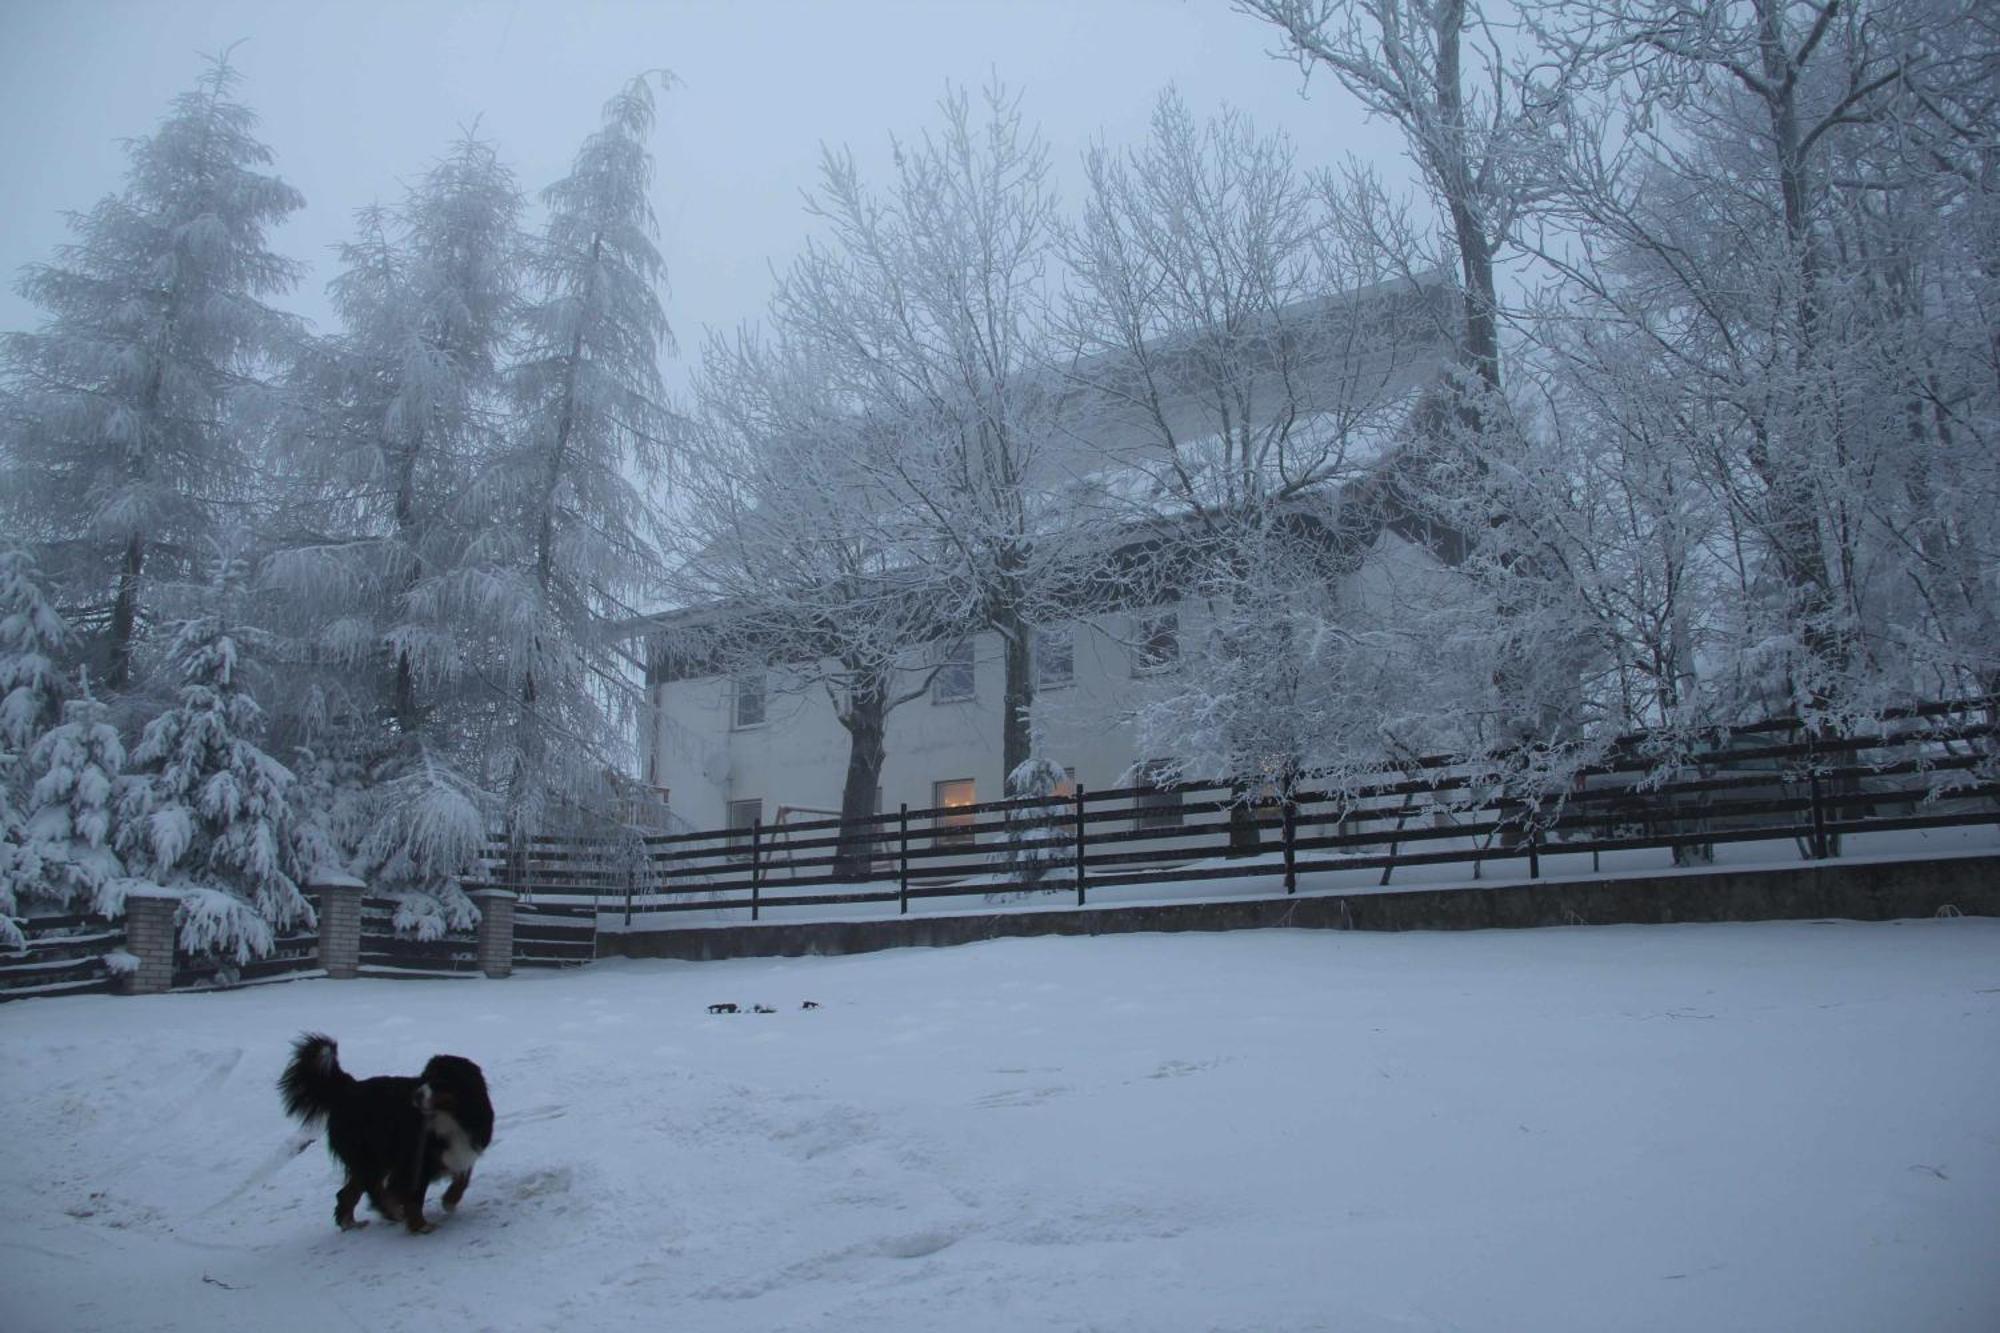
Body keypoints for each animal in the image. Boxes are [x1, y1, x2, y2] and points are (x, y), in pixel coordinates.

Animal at [278, 1024, 496, 1232]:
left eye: (441, 1081)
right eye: (424, 1078)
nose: (416, 1095)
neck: (450, 1117)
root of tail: (348, 1089)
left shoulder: (465, 1146)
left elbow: (462, 1178)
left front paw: (450, 1200)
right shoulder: (412, 1160)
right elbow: (414, 1196)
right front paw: (420, 1225)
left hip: (372, 1158)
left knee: (348, 1192)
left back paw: (351, 1222)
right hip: (369, 1155)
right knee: (372, 1189)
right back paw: (391, 1211)